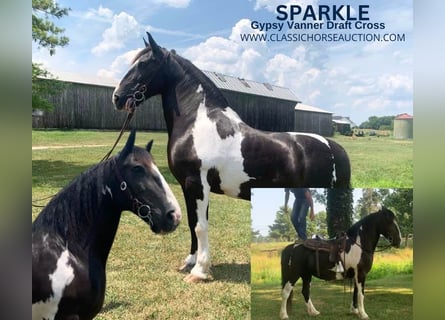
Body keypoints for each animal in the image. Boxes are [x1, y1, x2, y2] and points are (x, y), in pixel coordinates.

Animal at [112, 33, 350, 282]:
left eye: (143, 64)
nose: (117, 97)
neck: (197, 122)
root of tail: (334, 147)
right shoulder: (188, 186)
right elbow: (192, 223)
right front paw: (190, 261)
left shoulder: (197, 185)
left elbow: (200, 226)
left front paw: (199, 270)